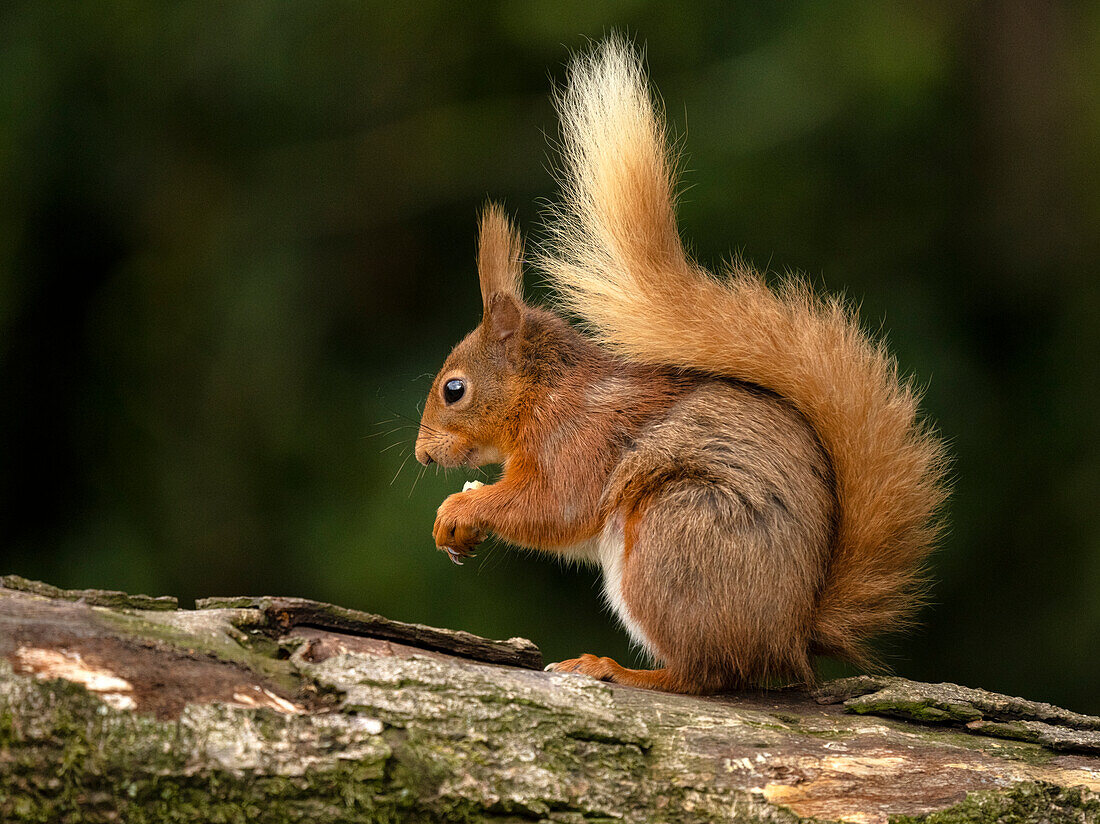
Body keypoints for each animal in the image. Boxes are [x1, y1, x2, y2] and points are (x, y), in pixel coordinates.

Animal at [413, 38, 946, 695]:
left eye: (454, 390)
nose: (423, 456)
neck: (544, 393)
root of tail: (788, 641)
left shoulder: (580, 438)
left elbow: (553, 506)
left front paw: (459, 510)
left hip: (673, 539)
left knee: (704, 674)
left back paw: (613, 668)